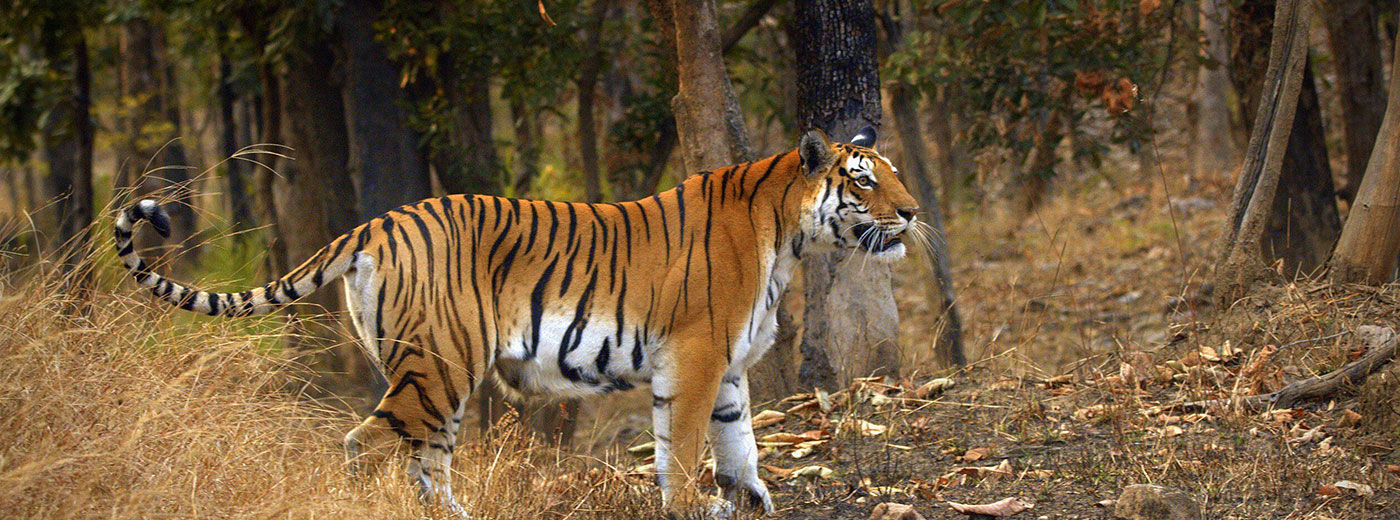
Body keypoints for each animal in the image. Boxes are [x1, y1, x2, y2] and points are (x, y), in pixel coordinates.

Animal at [113, 127, 919, 518]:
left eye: (896, 175)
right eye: (863, 181)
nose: (912, 213)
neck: (788, 233)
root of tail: (376, 221)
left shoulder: (724, 369)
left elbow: (740, 448)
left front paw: (748, 502)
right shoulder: (692, 359)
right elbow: (683, 453)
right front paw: (695, 506)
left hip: (431, 377)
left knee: (427, 464)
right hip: (437, 369)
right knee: (365, 446)